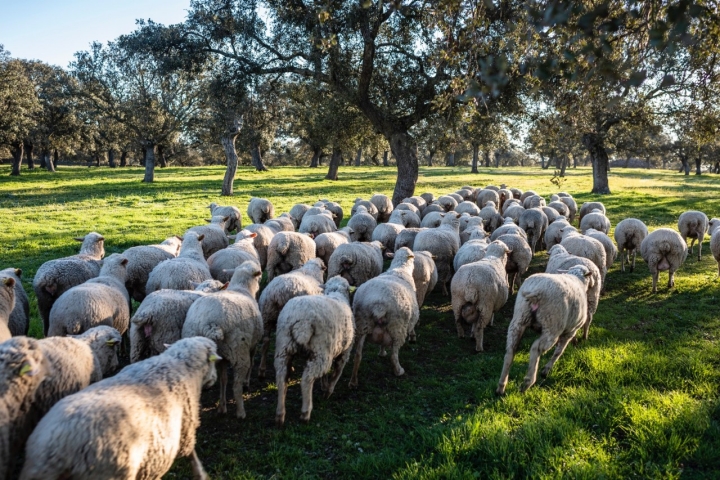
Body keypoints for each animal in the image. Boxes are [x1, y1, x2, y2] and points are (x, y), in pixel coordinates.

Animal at [20, 337, 219, 480]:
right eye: (214, 362)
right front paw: (201, 473)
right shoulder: (185, 429)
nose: (215, 379)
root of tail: (60, 447)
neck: (179, 365)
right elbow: (191, 453)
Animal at [183, 262, 263, 419]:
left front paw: (222, 405)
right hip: (239, 351)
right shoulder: (253, 345)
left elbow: (223, 380)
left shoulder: (223, 358)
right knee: (236, 385)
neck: (242, 288)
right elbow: (251, 364)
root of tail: (210, 324)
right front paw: (247, 382)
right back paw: (241, 412)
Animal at [274, 276, 354, 426]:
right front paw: (328, 391)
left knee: (281, 378)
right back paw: (305, 413)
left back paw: (280, 415)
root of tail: (302, 321)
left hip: (283, 347)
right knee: (306, 380)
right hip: (320, 352)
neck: (336, 293)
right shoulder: (345, 352)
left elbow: (325, 374)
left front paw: (324, 385)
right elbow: (337, 373)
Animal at [349, 248, 419, 387]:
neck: (399, 269)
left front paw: (381, 353)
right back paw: (399, 371)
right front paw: (413, 337)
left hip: (363, 325)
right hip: (397, 327)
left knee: (358, 355)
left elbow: (382, 342)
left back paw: (353, 381)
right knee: (394, 355)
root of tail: (378, 303)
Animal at [496, 265, 593, 395]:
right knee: (535, 348)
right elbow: (558, 352)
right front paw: (545, 370)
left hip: (519, 319)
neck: (578, 279)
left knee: (511, 350)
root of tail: (537, 292)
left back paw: (501, 386)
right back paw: (527, 382)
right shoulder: (570, 331)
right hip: (551, 326)